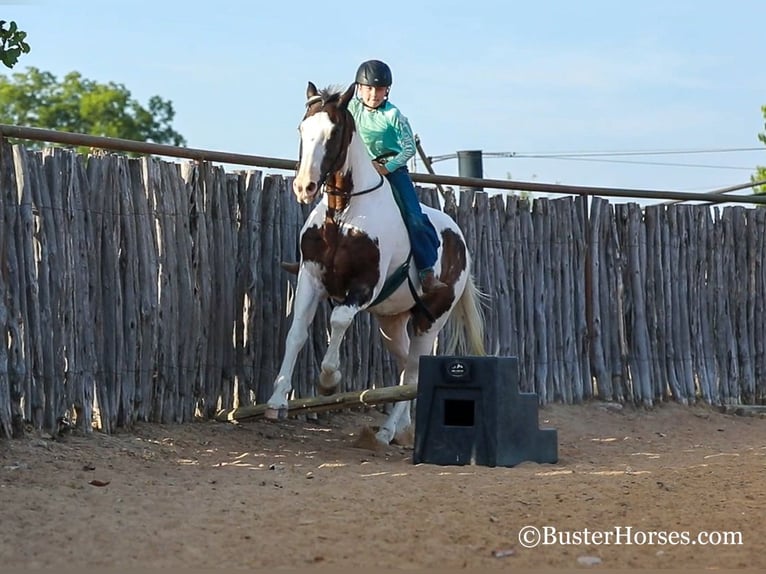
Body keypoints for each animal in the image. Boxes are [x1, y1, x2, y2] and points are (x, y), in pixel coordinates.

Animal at [266, 81, 486, 446]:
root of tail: (460, 241)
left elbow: (339, 320)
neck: (342, 216)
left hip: (431, 319)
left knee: (414, 367)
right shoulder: (309, 279)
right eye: (302, 129)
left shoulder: (364, 288)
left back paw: (385, 432)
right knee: (406, 363)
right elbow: (296, 332)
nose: (304, 186)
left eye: (333, 132)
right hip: (392, 322)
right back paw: (400, 427)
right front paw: (276, 402)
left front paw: (329, 380)